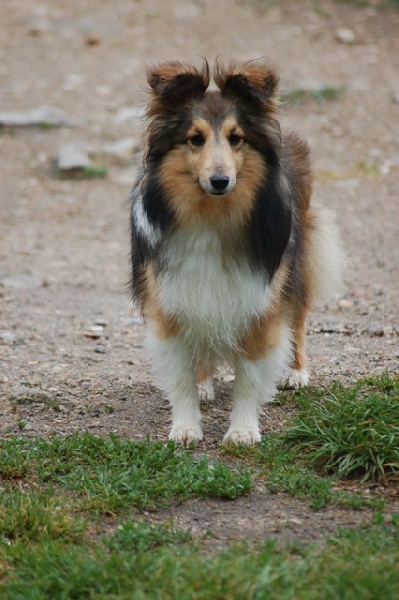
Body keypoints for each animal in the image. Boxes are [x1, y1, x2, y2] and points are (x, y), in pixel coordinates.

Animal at [130, 59, 344, 446]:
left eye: (236, 138)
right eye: (195, 139)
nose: (220, 181)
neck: (211, 217)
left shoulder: (260, 301)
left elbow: (250, 376)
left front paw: (242, 431)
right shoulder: (170, 298)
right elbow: (181, 377)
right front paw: (185, 427)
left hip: (298, 264)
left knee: (299, 317)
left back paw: (295, 372)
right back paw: (204, 383)